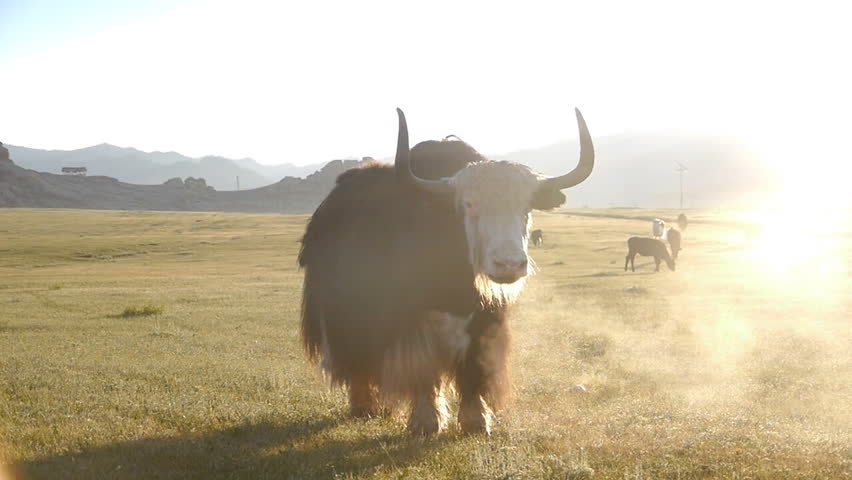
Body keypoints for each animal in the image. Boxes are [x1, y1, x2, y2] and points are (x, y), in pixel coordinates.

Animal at [298, 108, 595, 435]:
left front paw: (476, 421)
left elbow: (474, 366)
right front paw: (426, 422)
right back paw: (364, 405)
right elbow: (424, 370)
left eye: (526, 206)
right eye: (468, 204)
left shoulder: (485, 317)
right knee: (356, 358)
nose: (509, 265)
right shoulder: (412, 322)